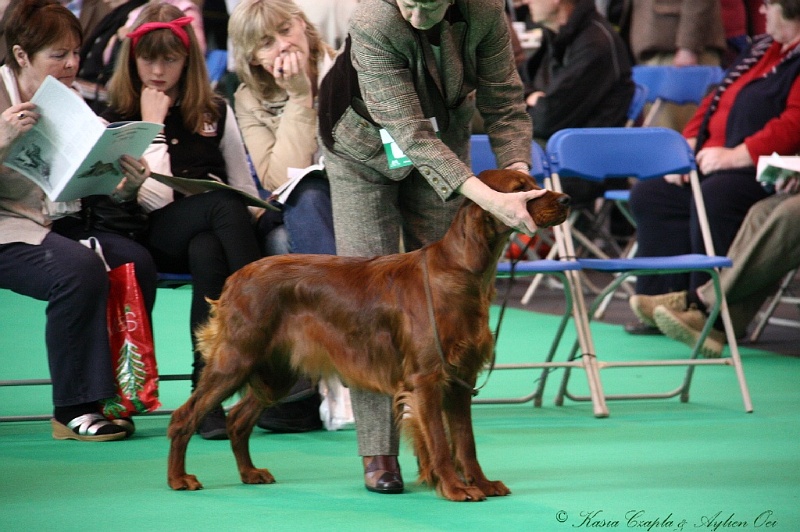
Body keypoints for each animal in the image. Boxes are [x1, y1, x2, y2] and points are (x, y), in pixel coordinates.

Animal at [167, 168, 568, 500]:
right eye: (521, 189)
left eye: (534, 182)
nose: (565, 199)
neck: (459, 271)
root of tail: (235, 278)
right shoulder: (427, 378)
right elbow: (441, 442)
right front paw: (455, 488)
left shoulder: (460, 378)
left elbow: (466, 443)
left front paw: (481, 483)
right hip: (237, 358)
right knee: (184, 416)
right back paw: (179, 478)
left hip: (278, 369)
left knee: (237, 420)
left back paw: (249, 473)